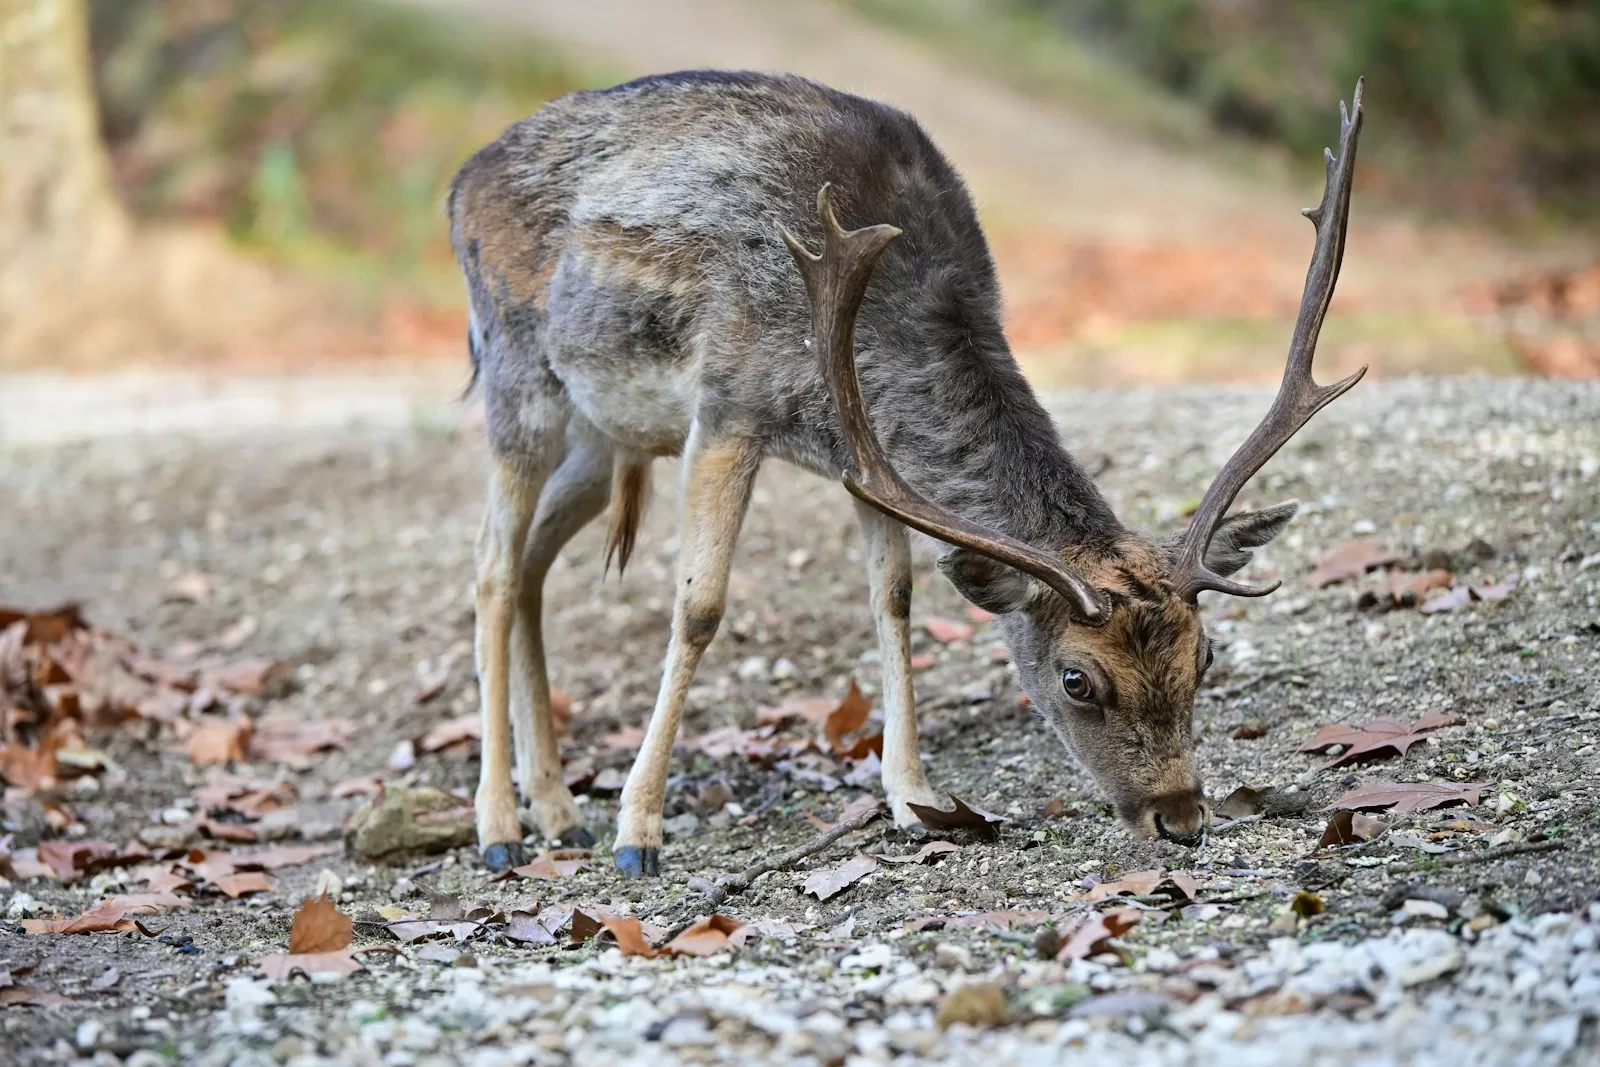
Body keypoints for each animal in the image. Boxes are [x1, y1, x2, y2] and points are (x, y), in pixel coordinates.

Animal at [448, 68, 1363, 876]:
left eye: (1204, 656)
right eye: (1077, 679)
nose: (1180, 816)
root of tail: (459, 184)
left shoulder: (862, 453)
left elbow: (893, 596)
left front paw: (915, 799)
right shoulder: (727, 407)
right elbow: (700, 608)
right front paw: (638, 831)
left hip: (604, 438)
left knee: (531, 566)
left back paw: (557, 807)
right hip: (518, 373)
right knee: (491, 567)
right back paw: (501, 827)